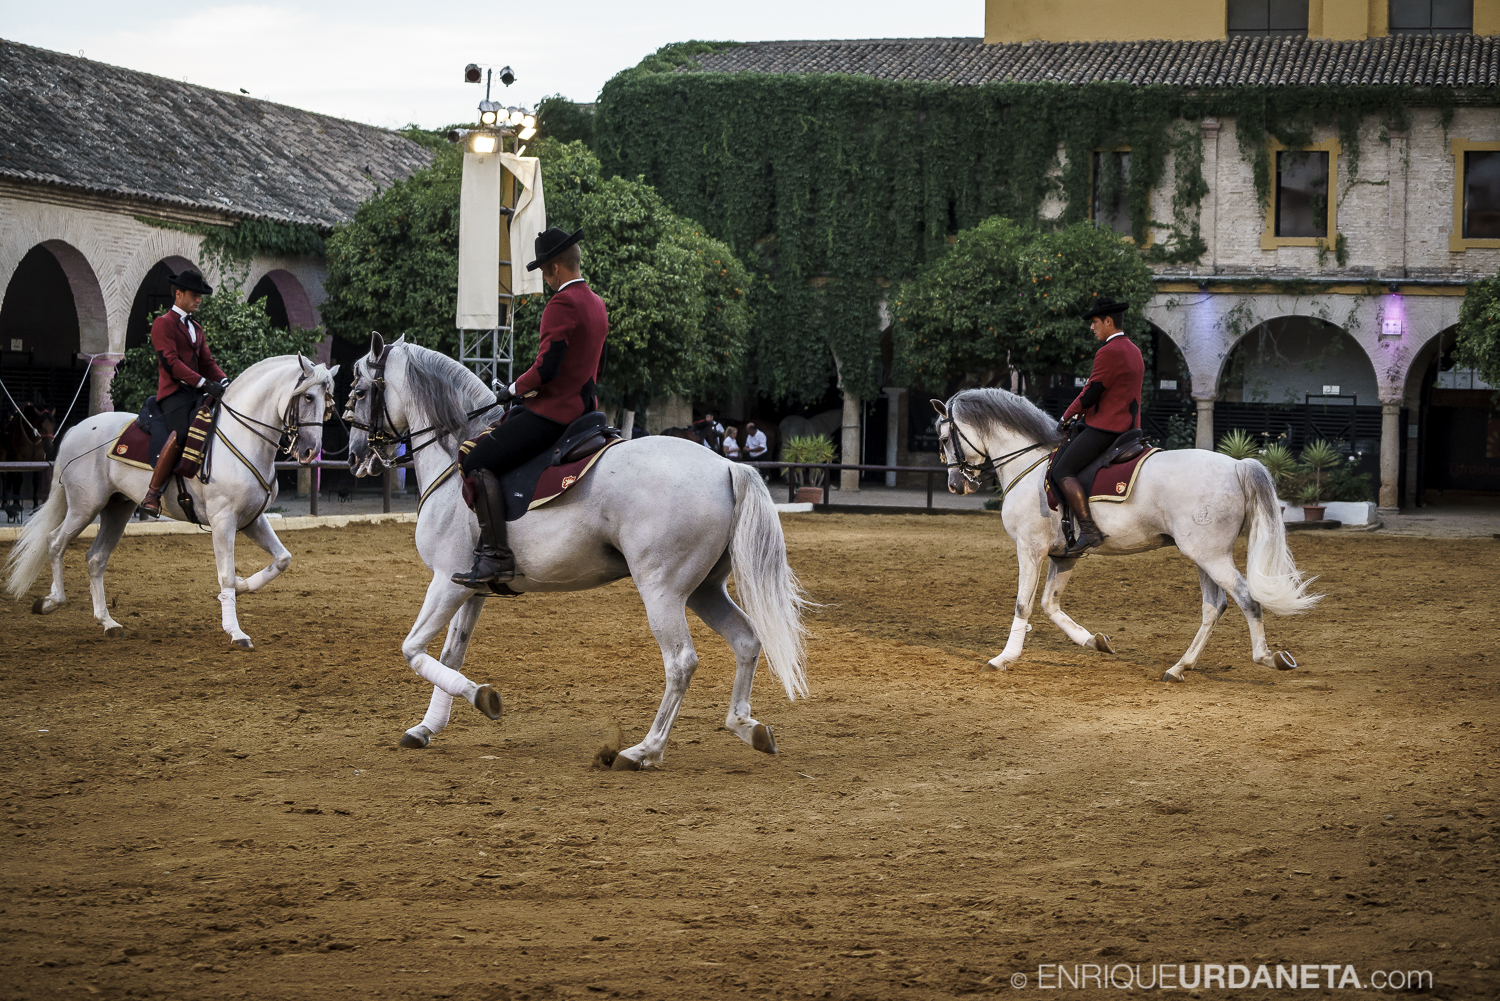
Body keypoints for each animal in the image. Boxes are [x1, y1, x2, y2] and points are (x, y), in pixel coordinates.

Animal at [6, 354, 337, 651]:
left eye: (327, 402)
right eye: (308, 397)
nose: (310, 451)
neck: (243, 438)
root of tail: (77, 428)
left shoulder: (251, 520)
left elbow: (282, 559)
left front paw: (244, 586)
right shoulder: (223, 521)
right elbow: (226, 575)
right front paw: (236, 632)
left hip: (117, 508)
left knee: (96, 558)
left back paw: (108, 622)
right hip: (85, 506)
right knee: (55, 542)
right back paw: (51, 602)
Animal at [343, 333, 810, 774]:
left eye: (360, 390)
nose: (354, 457)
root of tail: (726, 465)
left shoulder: (445, 581)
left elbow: (413, 649)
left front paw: (483, 697)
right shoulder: (471, 588)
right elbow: (449, 655)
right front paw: (427, 727)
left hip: (662, 590)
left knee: (680, 662)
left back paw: (643, 750)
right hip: (703, 590)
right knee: (746, 639)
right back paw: (746, 727)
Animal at [936, 390, 1326, 681]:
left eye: (943, 438)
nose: (956, 484)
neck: (1029, 465)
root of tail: (1236, 464)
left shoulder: (1029, 549)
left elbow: (1023, 603)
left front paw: (1004, 657)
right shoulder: (1064, 555)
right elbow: (1050, 604)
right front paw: (1095, 641)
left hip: (1210, 556)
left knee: (1246, 599)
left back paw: (1266, 657)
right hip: (1204, 556)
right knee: (1214, 607)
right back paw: (1179, 667)